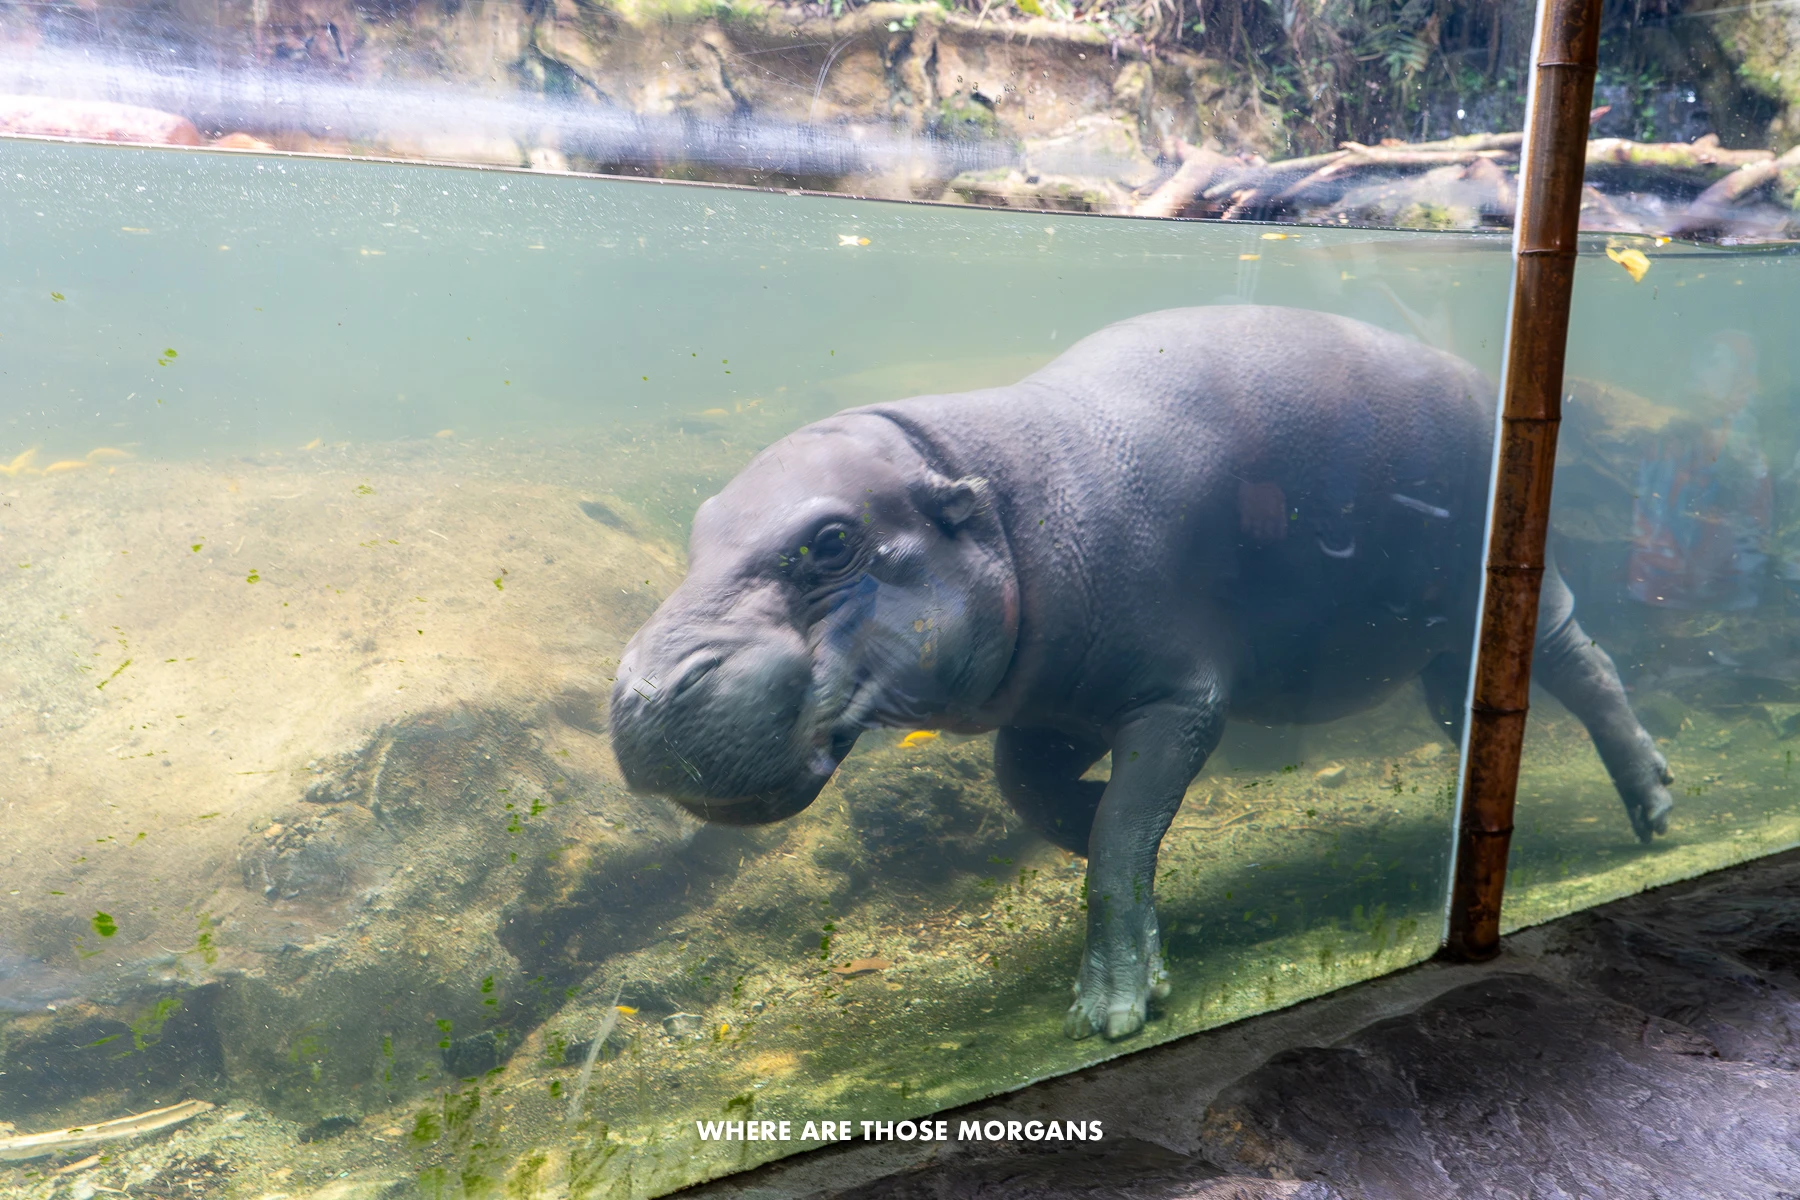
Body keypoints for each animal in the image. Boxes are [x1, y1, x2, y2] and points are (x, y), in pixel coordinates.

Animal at [609, 305, 1674, 1041]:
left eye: (832, 542)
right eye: (699, 526)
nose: (644, 696)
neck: (1006, 500)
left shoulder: (1177, 698)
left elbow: (1123, 836)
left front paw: (1115, 1009)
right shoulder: (1052, 710)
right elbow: (1039, 798)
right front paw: (1141, 878)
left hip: (1499, 583)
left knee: (1585, 663)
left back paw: (1654, 807)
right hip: (1438, 635)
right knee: (1471, 701)